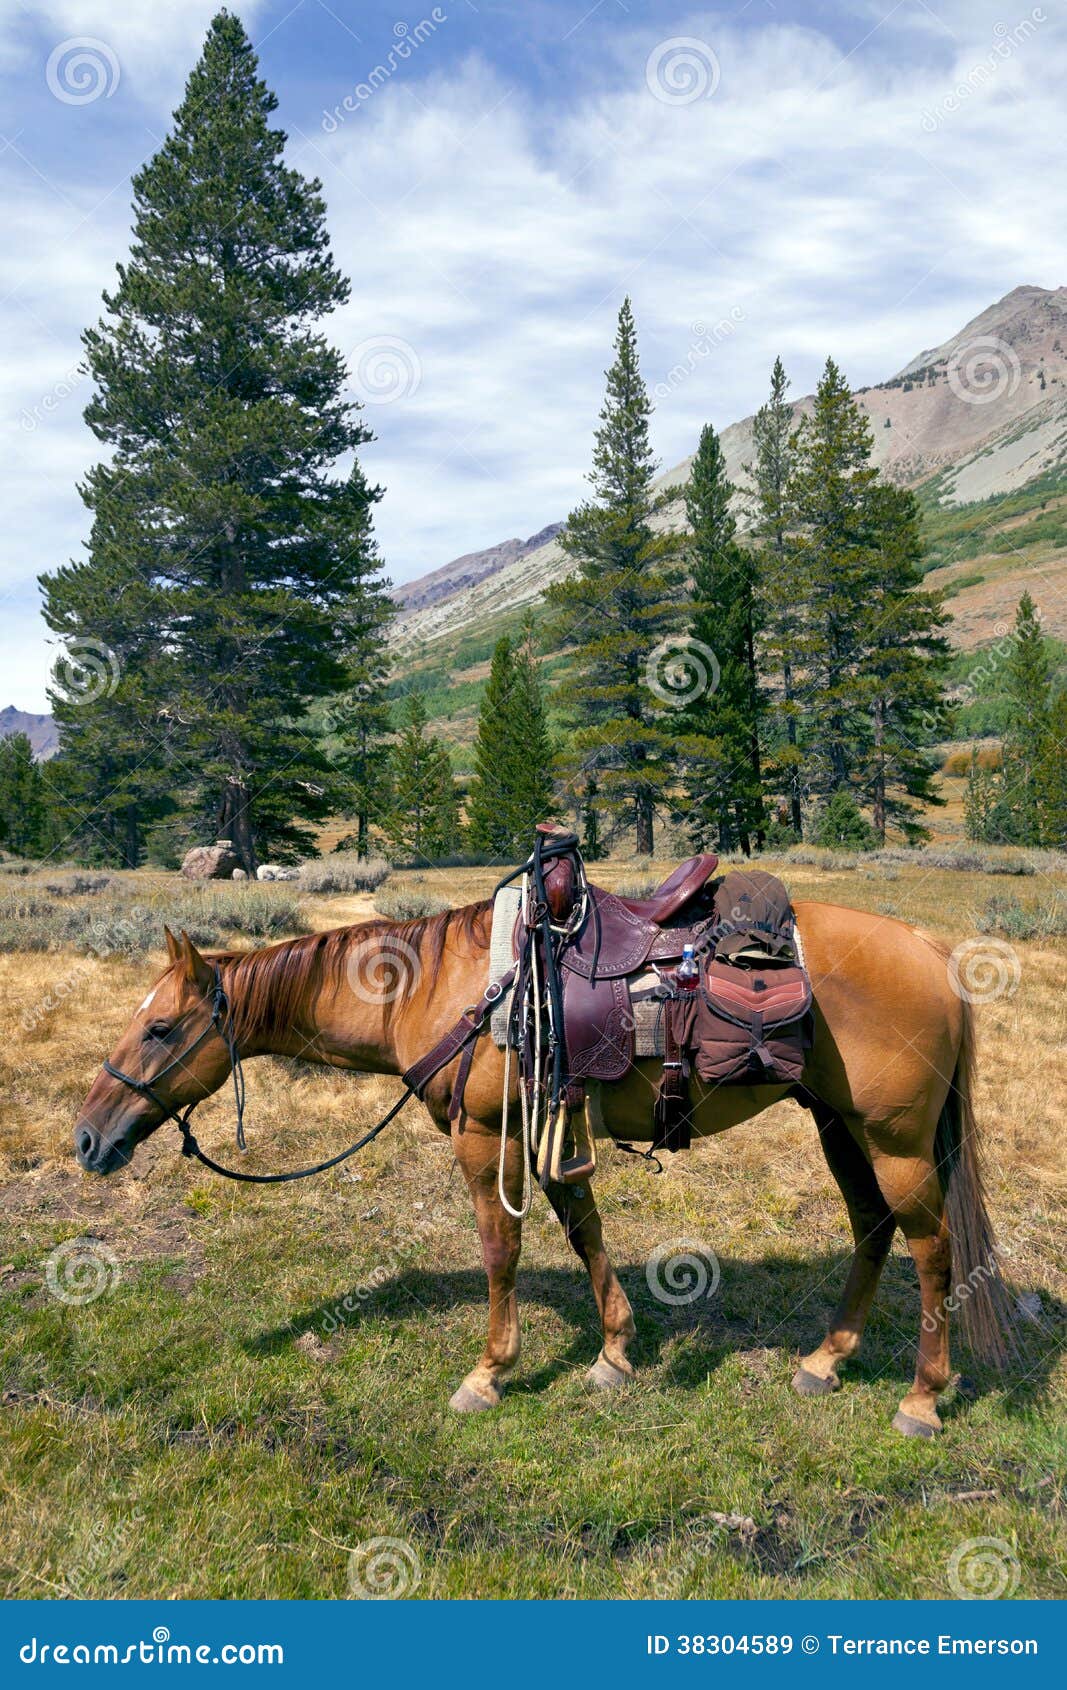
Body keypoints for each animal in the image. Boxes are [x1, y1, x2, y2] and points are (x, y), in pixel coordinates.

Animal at [73, 900, 1012, 1437]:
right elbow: (583, 1230)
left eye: (159, 1028)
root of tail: (931, 953)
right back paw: (826, 1359)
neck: (437, 986)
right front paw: (615, 1352)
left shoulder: (483, 1137)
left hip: (893, 1142)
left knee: (932, 1253)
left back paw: (921, 1399)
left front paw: (489, 1373)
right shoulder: (548, 1130)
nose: (88, 1138)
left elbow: (502, 1251)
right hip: (837, 1124)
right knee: (871, 1230)